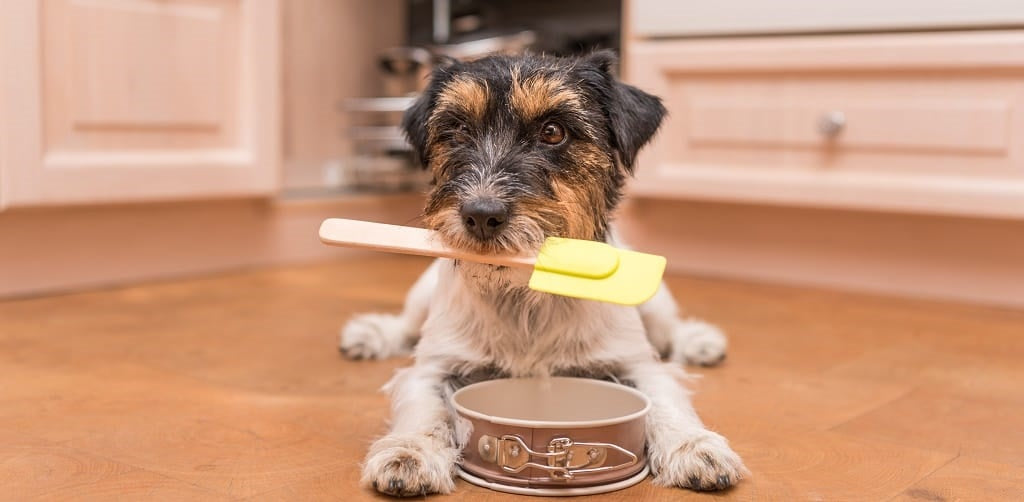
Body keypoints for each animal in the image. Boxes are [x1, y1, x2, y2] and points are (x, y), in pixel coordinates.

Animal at [339, 48, 749, 495]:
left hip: (654, 302)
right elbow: (425, 409)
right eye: (458, 130)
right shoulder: (433, 366)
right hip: (421, 295)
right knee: (405, 325)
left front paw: (694, 446)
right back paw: (370, 334)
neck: (526, 294)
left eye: (553, 132)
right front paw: (410, 452)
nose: (481, 214)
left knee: (669, 329)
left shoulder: (635, 363)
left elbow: (665, 399)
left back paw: (699, 341)